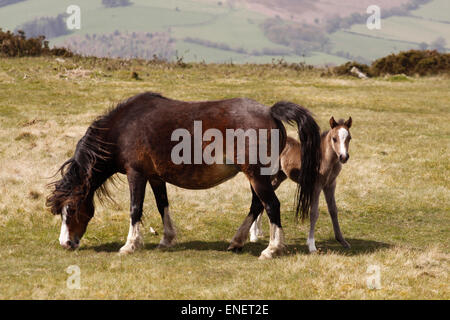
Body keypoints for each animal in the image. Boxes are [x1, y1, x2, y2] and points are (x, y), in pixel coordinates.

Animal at [45, 91, 322, 258]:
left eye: (72, 208)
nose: (66, 243)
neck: (123, 127)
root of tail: (270, 111)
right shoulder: (155, 177)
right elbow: (162, 205)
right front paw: (166, 239)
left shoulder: (136, 174)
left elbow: (135, 208)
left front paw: (130, 245)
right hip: (257, 176)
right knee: (257, 205)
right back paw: (237, 241)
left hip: (255, 174)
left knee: (271, 205)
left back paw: (272, 249)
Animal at [250, 116, 352, 251]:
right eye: (334, 138)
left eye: (349, 138)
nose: (343, 157)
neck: (324, 158)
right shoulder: (316, 186)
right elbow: (314, 213)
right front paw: (312, 245)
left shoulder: (330, 185)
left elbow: (333, 210)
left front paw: (342, 241)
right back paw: (253, 235)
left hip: (278, 178)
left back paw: (258, 231)